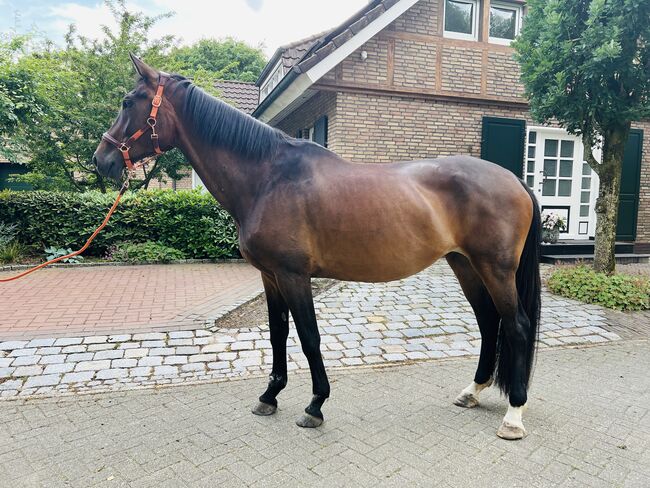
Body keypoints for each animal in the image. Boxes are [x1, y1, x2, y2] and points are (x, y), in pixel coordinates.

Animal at [93, 55, 540, 440]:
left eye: (128, 101)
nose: (102, 160)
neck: (268, 177)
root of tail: (515, 181)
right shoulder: (270, 277)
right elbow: (277, 335)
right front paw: (269, 397)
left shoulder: (294, 275)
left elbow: (309, 337)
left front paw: (315, 405)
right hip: (464, 265)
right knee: (489, 322)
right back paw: (472, 391)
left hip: (494, 268)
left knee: (516, 325)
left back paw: (514, 414)